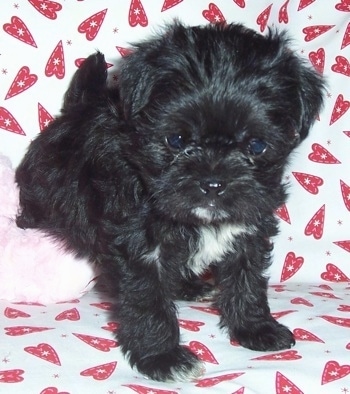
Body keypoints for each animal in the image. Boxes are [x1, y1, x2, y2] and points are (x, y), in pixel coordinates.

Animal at [14, 22, 326, 382]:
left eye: (257, 146)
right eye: (175, 140)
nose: (213, 182)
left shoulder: (250, 229)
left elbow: (247, 281)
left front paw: (255, 327)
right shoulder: (139, 248)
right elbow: (148, 301)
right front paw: (163, 357)